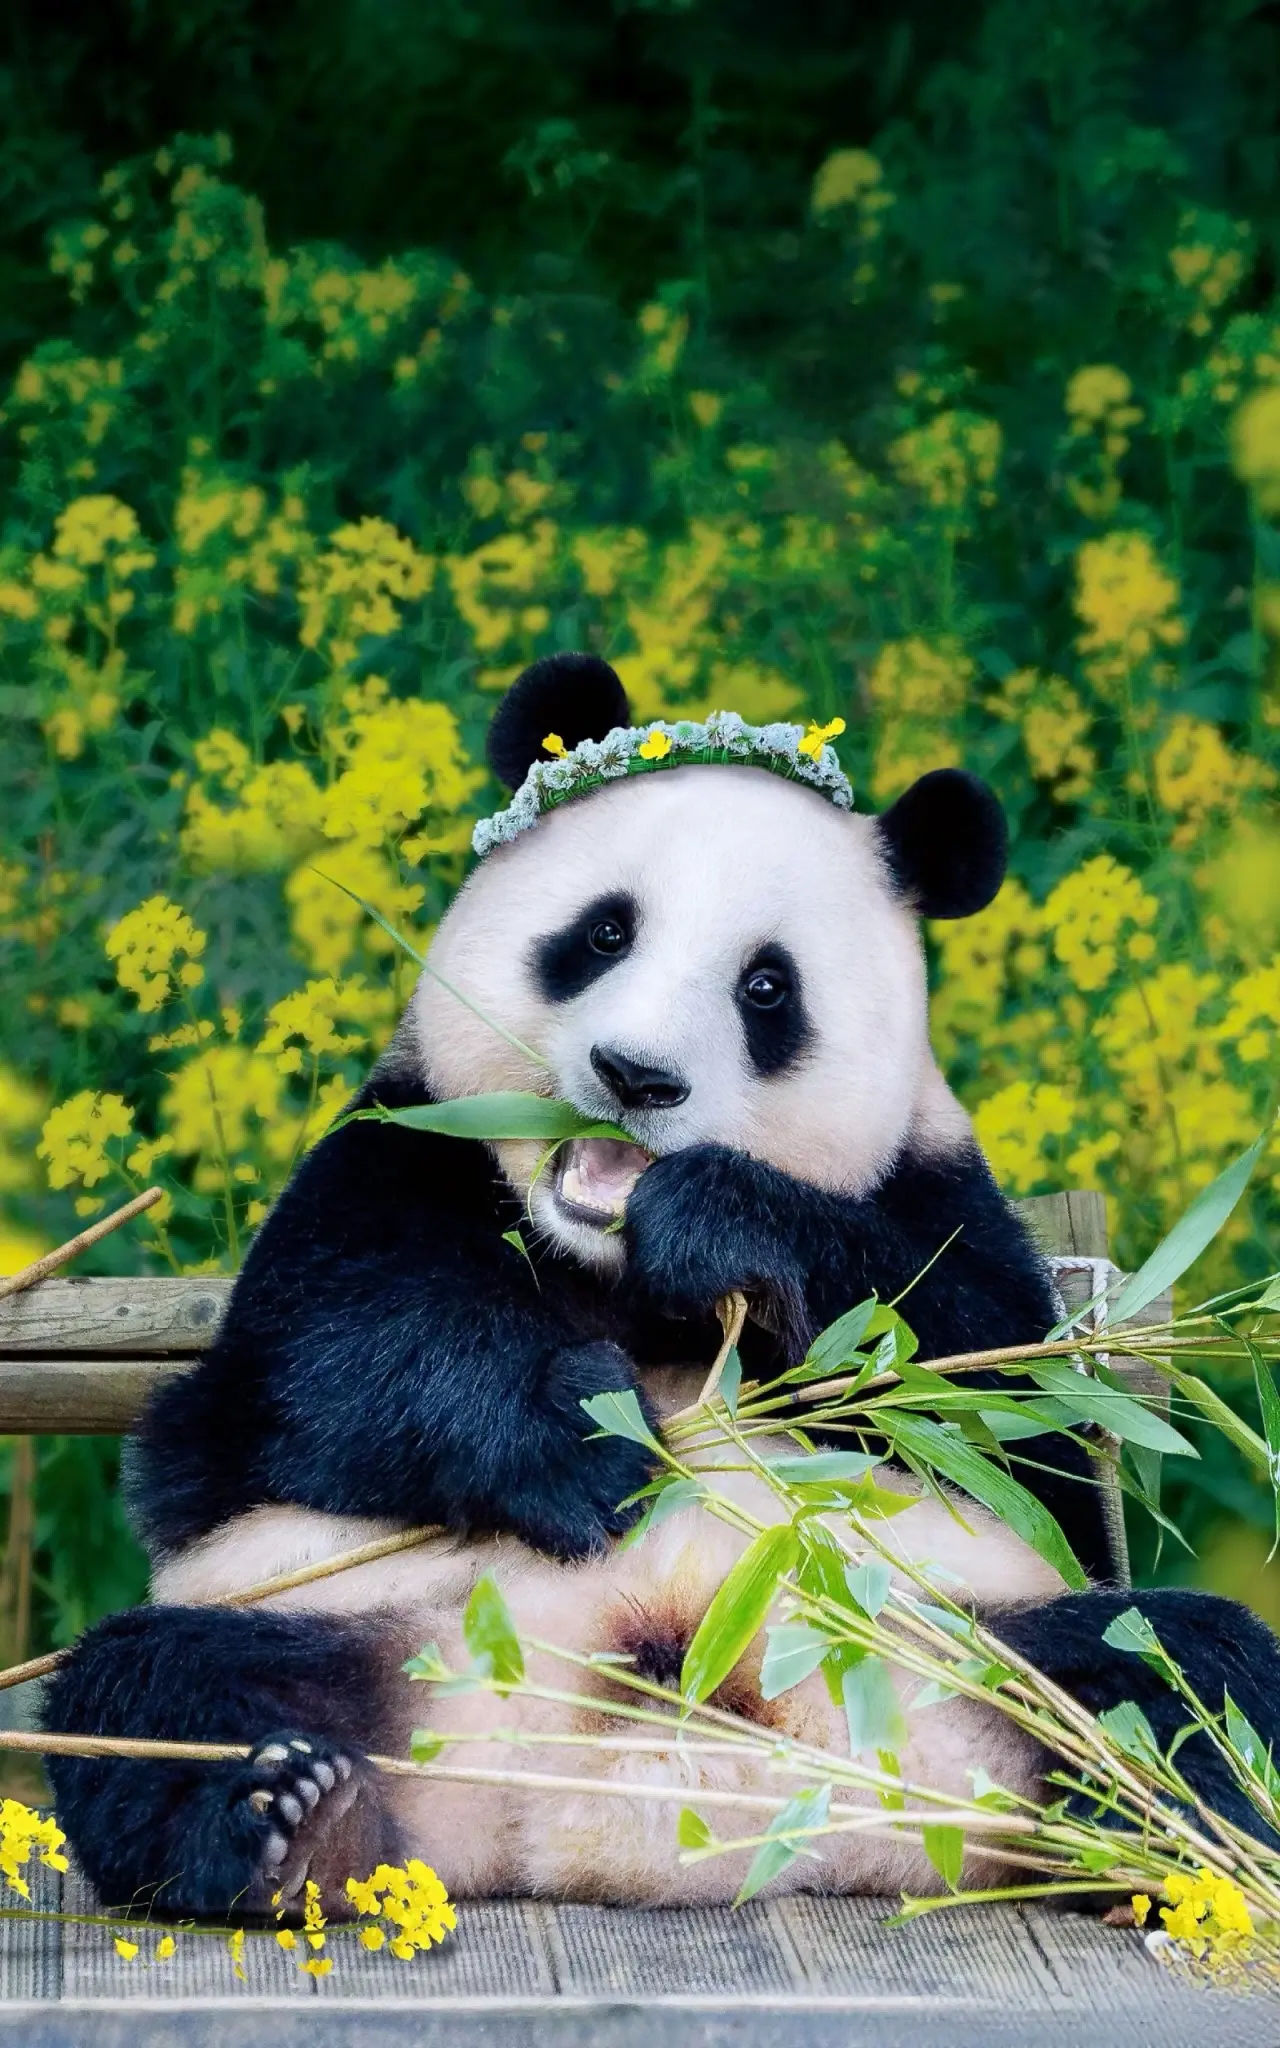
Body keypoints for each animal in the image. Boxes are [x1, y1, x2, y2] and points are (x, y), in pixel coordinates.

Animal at [44, 653, 1280, 1916]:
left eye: (766, 988)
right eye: (601, 931)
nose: (634, 1075)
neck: (599, 1260)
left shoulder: (945, 1208)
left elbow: (995, 1410)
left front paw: (716, 1223)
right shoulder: (396, 1149)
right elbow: (321, 1364)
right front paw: (591, 1446)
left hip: (964, 1635)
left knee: (1180, 1670)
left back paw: (1175, 1845)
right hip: (334, 1616)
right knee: (149, 1690)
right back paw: (282, 1819)